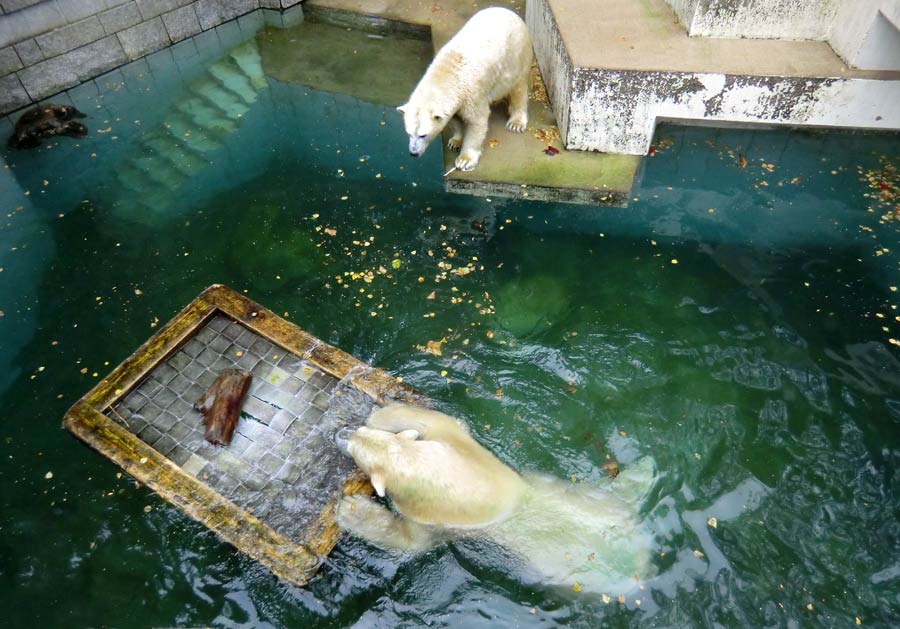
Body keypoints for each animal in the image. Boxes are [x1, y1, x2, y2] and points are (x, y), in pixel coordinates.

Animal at [336, 402, 652, 592]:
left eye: (356, 452)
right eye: (361, 433)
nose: (347, 434)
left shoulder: (437, 519)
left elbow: (411, 542)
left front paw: (350, 510)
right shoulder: (458, 447)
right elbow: (442, 423)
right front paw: (383, 414)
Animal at [398, 7, 532, 174]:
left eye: (423, 135)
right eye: (409, 132)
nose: (413, 153)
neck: (449, 75)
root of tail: (511, 12)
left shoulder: (473, 94)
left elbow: (477, 121)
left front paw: (464, 160)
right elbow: (455, 119)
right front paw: (455, 142)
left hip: (516, 57)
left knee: (518, 88)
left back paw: (516, 122)